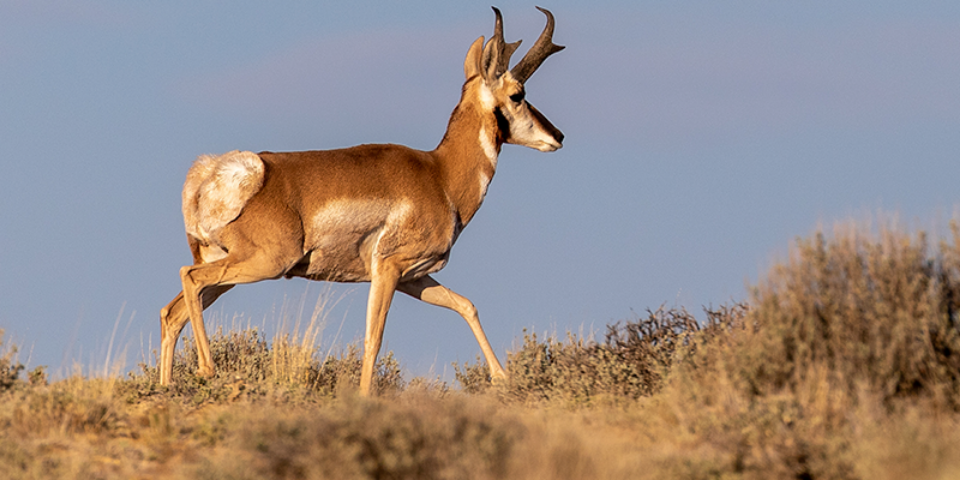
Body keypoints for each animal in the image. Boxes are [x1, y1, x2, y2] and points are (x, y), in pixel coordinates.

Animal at [158, 7, 564, 396]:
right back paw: (206, 369)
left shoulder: (414, 276)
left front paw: (502, 378)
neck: (439, 173)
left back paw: (166, 385)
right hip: (264, 262)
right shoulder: (389, 267)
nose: (558, 135)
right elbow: (374, 338)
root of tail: (217, 170)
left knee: (171, 312)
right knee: (188, 277)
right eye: (518, 94)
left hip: (229, 264)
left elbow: (466, 305)